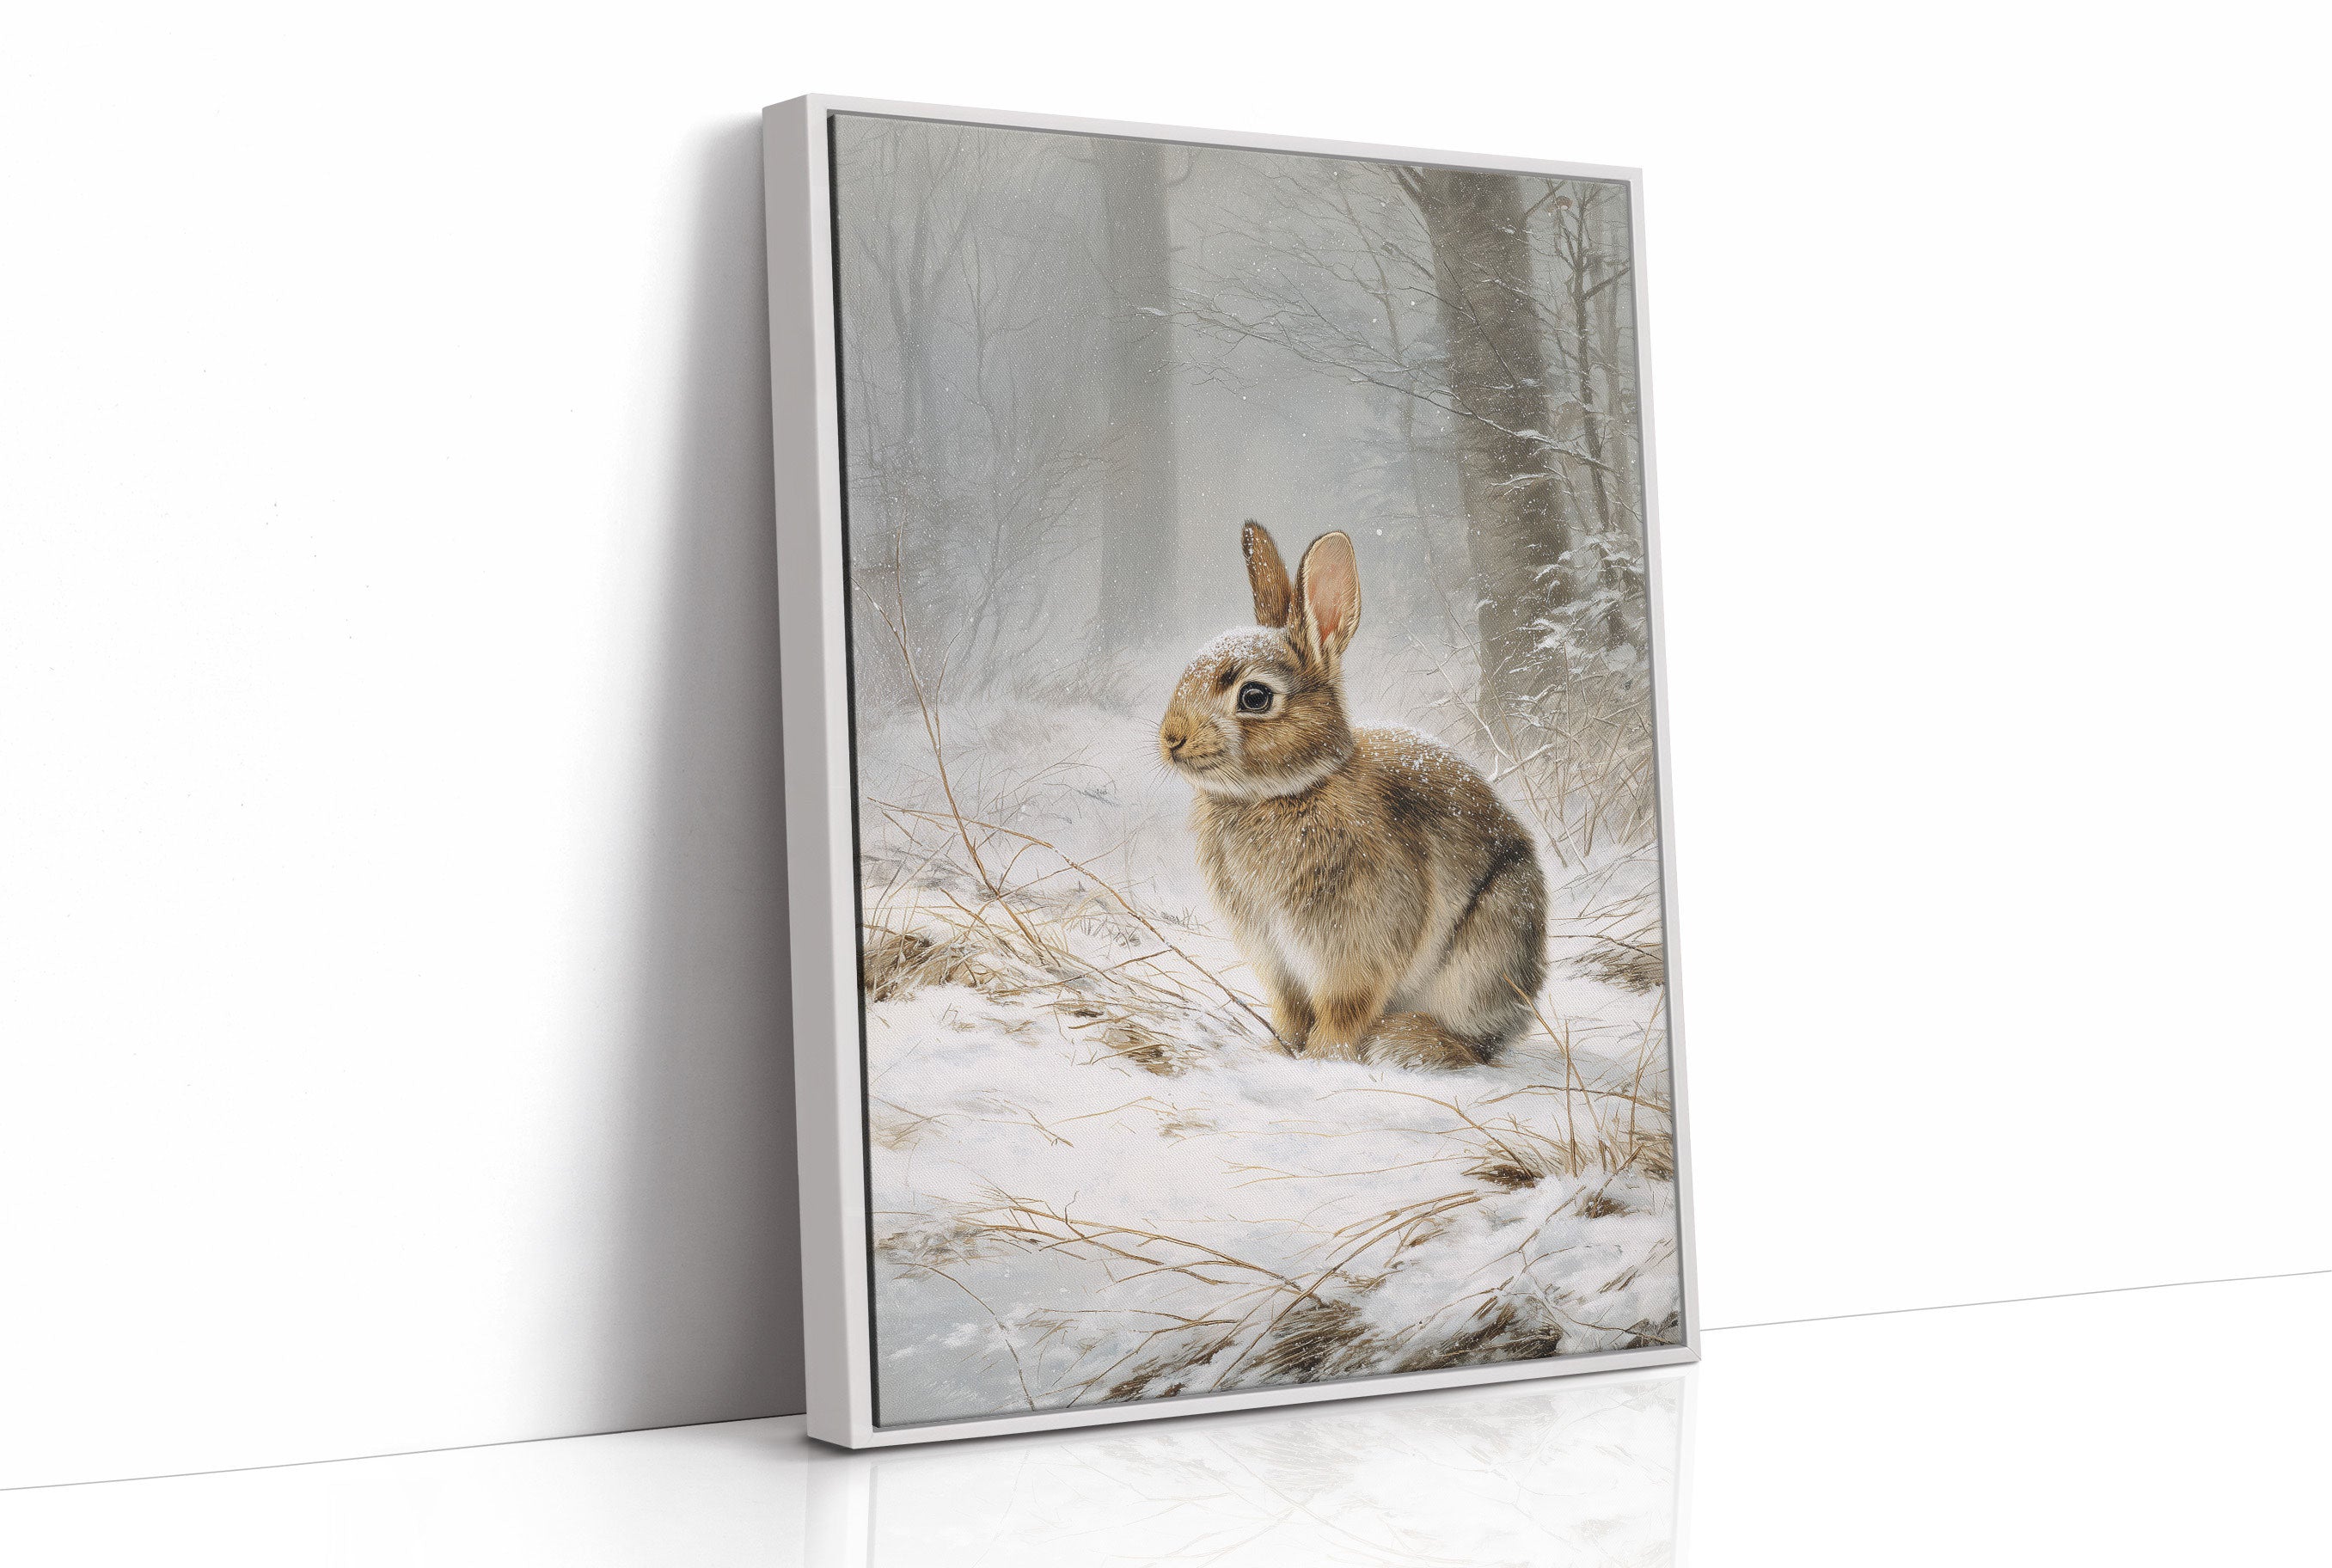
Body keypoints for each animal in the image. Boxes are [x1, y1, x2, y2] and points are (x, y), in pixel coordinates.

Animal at [1158, 521, 1548, 1069]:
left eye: (1254, 697)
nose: (1171, 737)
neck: (1287, 792)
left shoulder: (1357, 951)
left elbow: (1343, 1010)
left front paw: (1325, 1060)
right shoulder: (1277, 961)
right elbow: (1290, 1011)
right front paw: (1278, 1052)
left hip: (1488, 948)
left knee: (1477, 1042)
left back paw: (1407, 1042)